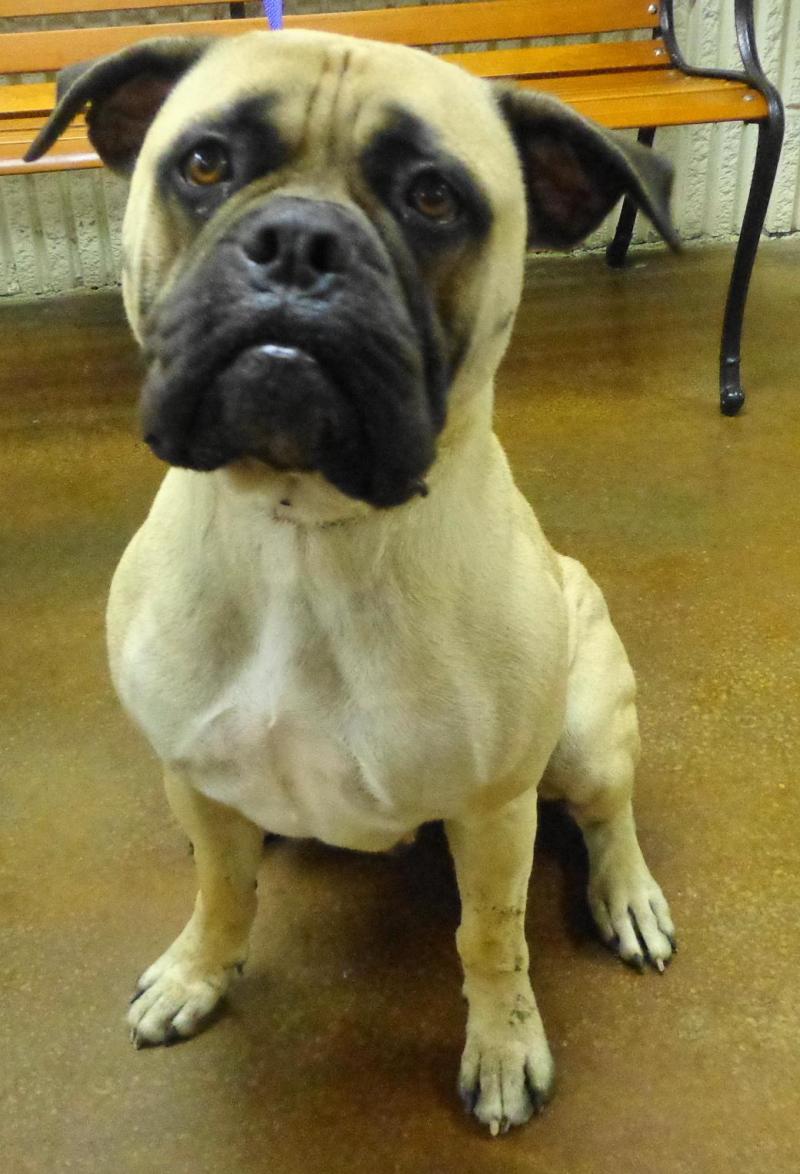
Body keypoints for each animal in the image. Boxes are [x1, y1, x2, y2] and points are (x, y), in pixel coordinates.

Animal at [28, 29, 678, 1135]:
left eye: (433, 198)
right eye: (204, 163)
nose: (297, 241)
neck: (304, 524)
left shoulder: (492, 812)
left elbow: (489, 936)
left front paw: (503, 1045)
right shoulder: (190, 771)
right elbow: (223, 893)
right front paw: (197, 972)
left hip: (587, 735)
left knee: (608, 817)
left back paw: (626, 895)